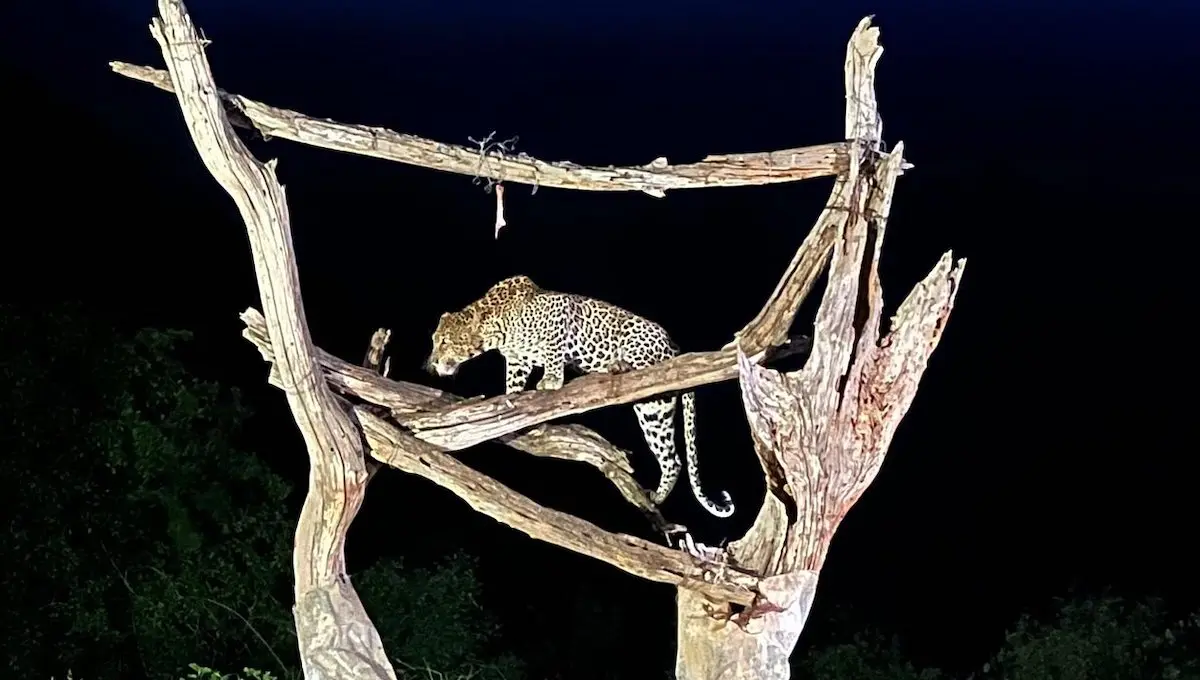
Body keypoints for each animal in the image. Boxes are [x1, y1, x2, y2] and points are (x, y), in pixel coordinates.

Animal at [424, 274, 735, 518]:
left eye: (445, 341)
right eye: (435, 341)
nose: (432, 362)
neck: (494, 329)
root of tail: (675, 347)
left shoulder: (560, 312)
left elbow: (553, 349)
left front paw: (551, 380)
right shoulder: (517, 360)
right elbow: (513, 382)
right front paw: (511, 399)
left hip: (640, 345)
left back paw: (618, 365)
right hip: (653, 409)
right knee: (673, 458)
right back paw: (657, 497)